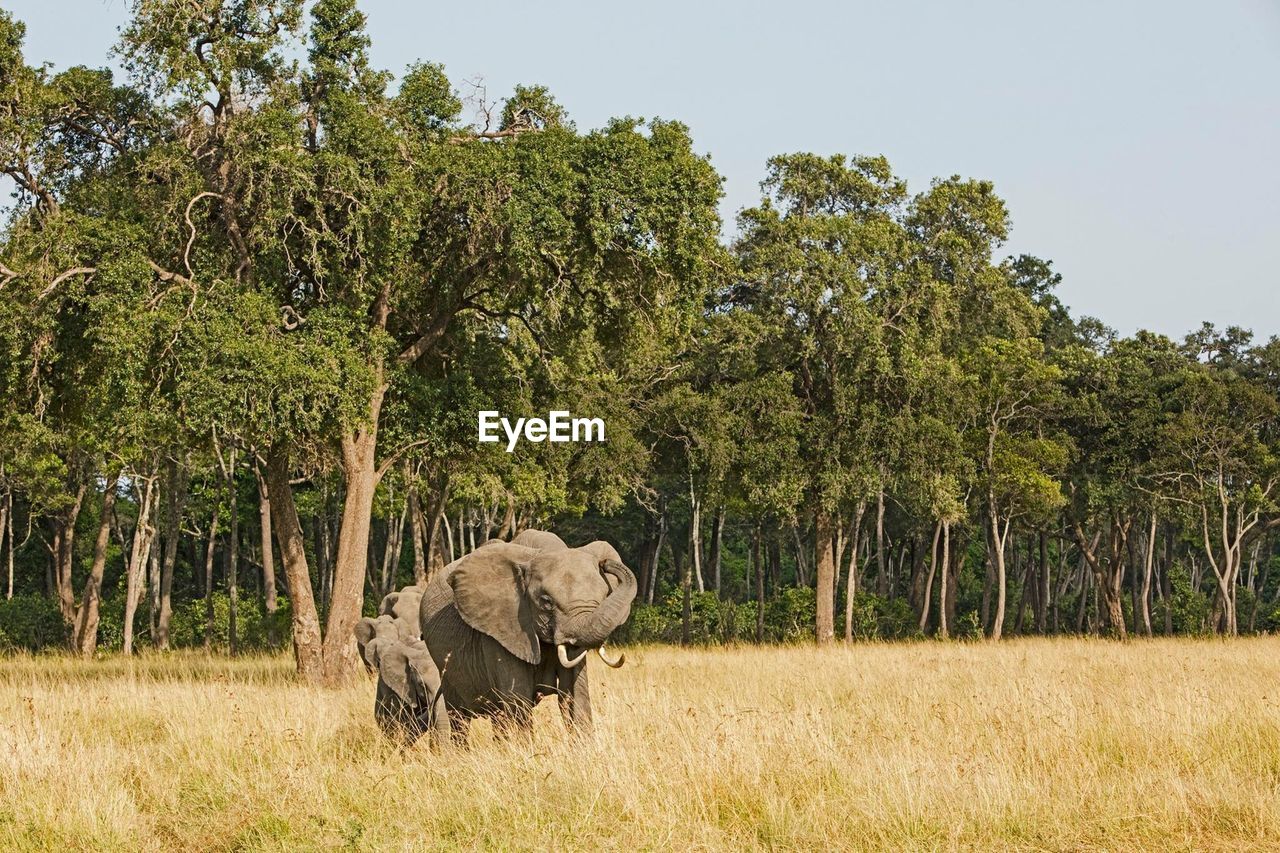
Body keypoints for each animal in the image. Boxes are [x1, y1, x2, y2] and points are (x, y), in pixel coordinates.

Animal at [419, 527, 634, 732]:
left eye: (604, 596)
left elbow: (574, 696)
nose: (605, 563)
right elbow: (518, 701)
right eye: (546, 602)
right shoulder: (501, 630)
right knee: (459, 718)